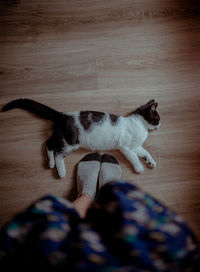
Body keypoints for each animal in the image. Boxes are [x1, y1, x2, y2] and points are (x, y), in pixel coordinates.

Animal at [1, 99, 161, 177]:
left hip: (62, 136)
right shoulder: (125, 146)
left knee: (48, 143)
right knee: (58, 153)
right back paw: (61, 171)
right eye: (158, 119)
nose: (160, 125)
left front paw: (150, 162)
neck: (140, 124)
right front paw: (139, 168)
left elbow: (145, 152)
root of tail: (62, 114)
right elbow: (133, 157)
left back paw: (50, 163)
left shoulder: (135, 145)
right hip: (71, 141)